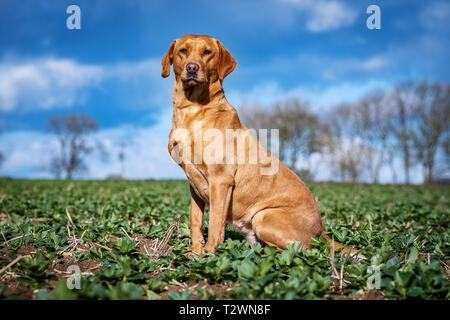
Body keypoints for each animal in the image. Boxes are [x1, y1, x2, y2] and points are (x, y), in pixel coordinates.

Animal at [162, 34, 358, 258]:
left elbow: (215, 225)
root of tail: (321, 232)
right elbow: (196, 220)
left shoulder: (221, 180)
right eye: (183, 51)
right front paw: (195, 253)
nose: (192, 67)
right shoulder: (193, 183)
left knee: (302, 251)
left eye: (207, 52)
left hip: (263, 217)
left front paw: (210, 254)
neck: (192, 108)